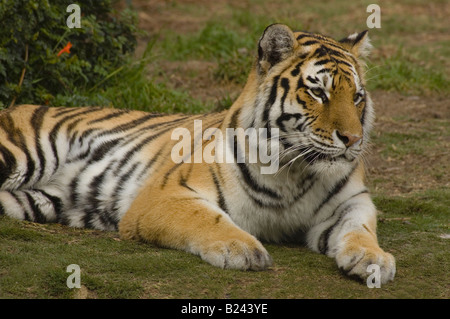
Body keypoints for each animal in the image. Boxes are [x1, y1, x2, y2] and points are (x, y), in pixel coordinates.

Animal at [0, 25, 394, 284]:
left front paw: (374, 258)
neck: (294, 171)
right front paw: (241, 249)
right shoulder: (165, 194)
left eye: (357, 97)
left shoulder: (352, 201)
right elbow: (206, 218)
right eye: (318, 93)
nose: (353, 139)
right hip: (18, 156)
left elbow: (360, 229)